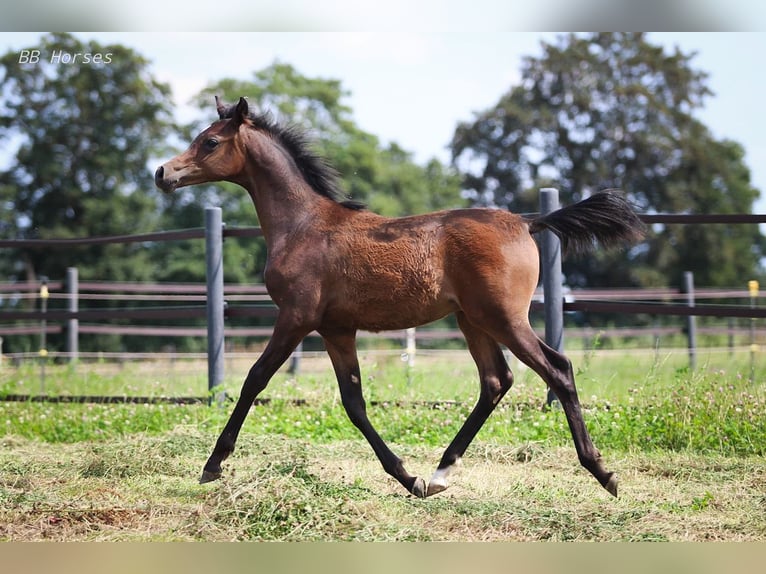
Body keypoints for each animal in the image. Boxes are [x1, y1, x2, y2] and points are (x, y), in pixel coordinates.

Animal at [153, 95, 644, 500]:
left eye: (210, 141)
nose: (163, 173)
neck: (303, 225)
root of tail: (527, 223)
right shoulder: (336, 329)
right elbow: (353, 402)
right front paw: (408, 477)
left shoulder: (296, 317)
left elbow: (255, 379)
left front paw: (213, 465)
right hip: (472, 320)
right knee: (496, 380)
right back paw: (441, 473)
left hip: (504, 317)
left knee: (557, 369)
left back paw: (603, 473)